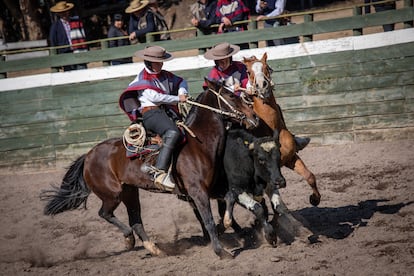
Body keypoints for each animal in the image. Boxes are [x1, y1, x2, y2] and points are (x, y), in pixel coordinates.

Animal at [39, 79, 258, 258]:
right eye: (231, 95)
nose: (254, 117)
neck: (199, 144)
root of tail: (88, 155)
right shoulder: (198, 192)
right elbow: (209, 221)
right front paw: (221, 252)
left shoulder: (213, 188)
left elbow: (229, 198)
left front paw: (229, 225)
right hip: (112, 194)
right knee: (105, 214)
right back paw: (129, 239)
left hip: (129, 192)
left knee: (136, 220)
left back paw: (154, 248)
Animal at [244, 52, 322, 213]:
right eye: (248, 72)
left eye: (267, 67)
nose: (262, 85)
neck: (270, 126)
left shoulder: (290, 158)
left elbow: (310, 176)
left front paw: (315, 199)